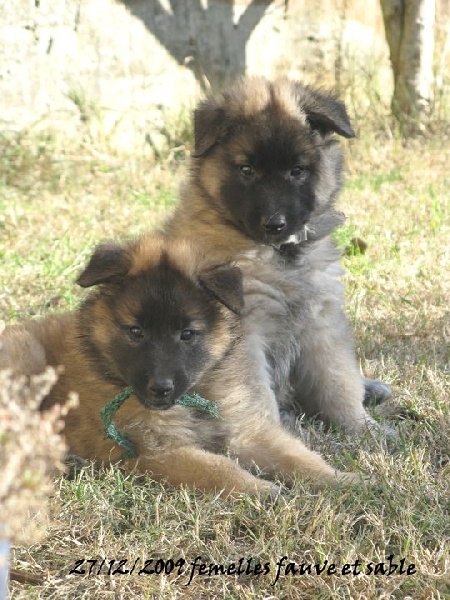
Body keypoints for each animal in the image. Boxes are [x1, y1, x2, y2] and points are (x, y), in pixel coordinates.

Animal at [0, 234, 362, 492]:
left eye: (187, 334)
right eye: (136, 331)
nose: (160, 389)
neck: (197, 393)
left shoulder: (245, 429)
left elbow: (296, 455)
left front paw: (340, 479)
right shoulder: (156, 451)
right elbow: (217, 468)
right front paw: (260, 489)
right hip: (26, 356)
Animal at [167, 76, 392, 436]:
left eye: (297, 171)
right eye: (246, 170)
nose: (275, 224)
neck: (281, 256)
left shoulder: (321, 323)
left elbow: (338, 380)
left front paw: (361, 427)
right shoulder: (245, 337)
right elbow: (255, 397)